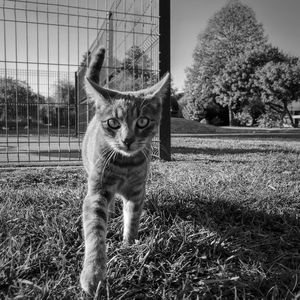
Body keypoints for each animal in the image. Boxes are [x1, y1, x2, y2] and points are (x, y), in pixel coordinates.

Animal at [80, 47, 169, 296]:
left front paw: (129, 244)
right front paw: (93, 273)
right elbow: (95, 230)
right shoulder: (97, 191)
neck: (125, 165)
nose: (127, 140)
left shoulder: (137, 190)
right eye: (113, 123)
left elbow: (133, 218)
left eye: (143, 121)